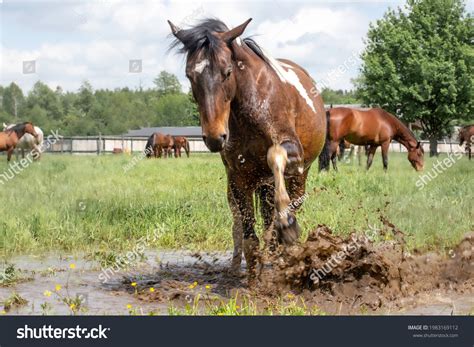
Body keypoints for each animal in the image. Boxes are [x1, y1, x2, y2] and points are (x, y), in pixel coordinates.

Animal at [168, 17, 328, 282]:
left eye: (227, 72)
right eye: (190, 75)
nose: (215, 137)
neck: (253, 105)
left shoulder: (292, 153)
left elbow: (275, 155)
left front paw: (287, 226)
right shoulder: (238, 175)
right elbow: (249, 233)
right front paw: (254, 276)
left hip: (299, 175)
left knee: (288, 204)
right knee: (247, 220)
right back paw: (243, 264)